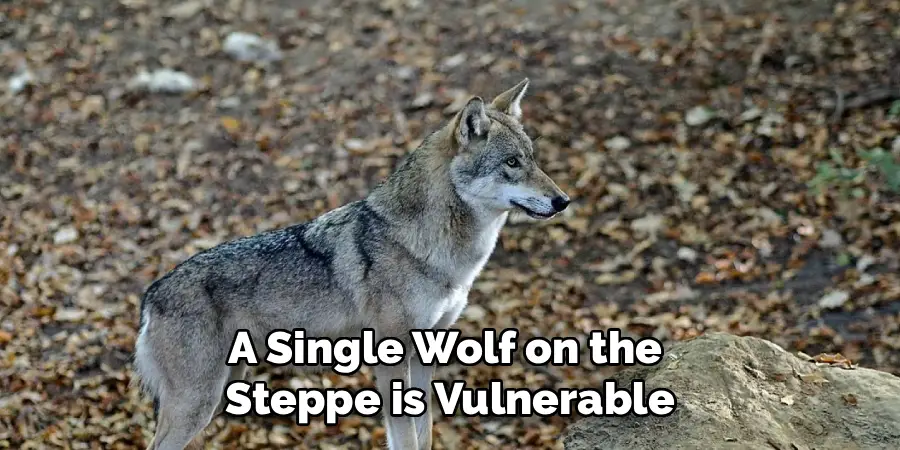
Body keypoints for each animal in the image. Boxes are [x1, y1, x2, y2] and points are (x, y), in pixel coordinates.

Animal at [133, 78, 570, 450]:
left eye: (532, 160)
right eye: (511, 163)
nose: (563, 200)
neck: (442, 256)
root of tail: (151, 294)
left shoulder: (427, 356)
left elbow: (425, 433)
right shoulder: (392, 358)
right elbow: (405, 438)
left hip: (221, 393)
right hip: (198, 404)